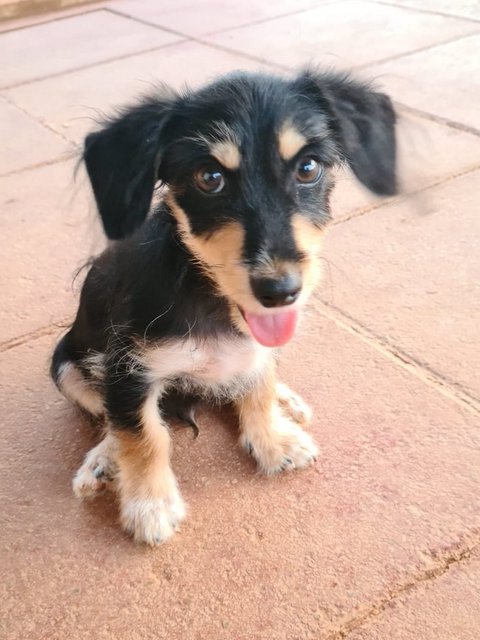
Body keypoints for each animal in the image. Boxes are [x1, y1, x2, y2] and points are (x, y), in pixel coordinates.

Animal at [51, 68, 397, 545]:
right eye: (209, 177)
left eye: (308, 168)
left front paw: (272, 439)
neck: (206, 294)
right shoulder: (128, 367)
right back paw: (104, 459)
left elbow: (258, 385)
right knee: (106, 416)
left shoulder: (257, 344)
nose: (280, 291)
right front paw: (150, 506)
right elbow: (143, 433)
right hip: (66, 365)